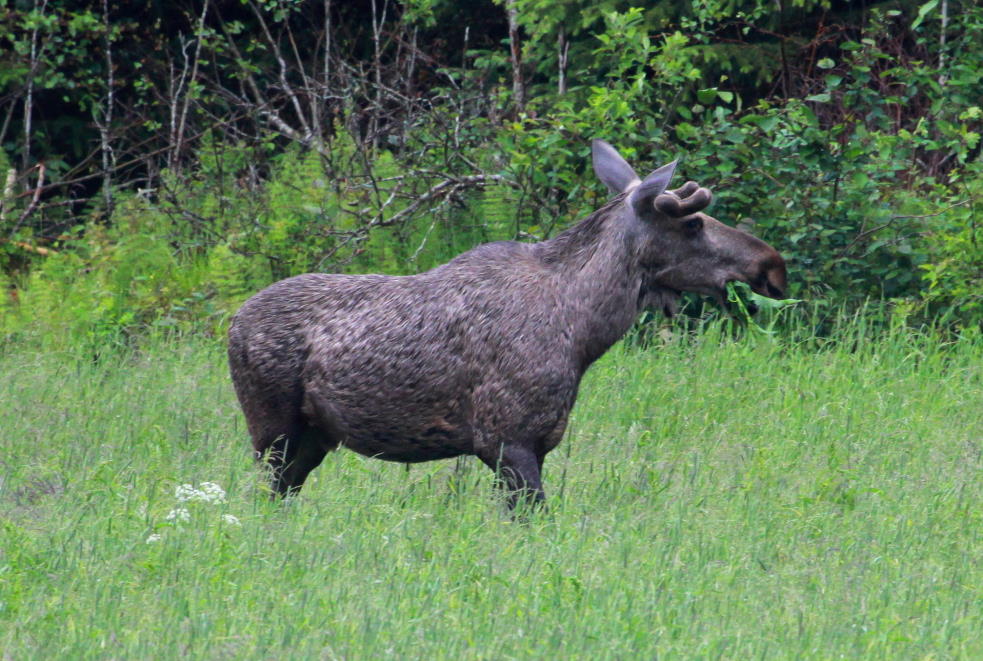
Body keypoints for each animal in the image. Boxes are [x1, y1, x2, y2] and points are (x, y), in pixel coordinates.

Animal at [227, 141, 788, 506]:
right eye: (692, 222)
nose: (773, 265)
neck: (584, 331)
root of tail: (231, 325)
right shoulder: (506, 439)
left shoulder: (531, 443)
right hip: (272, 429)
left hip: (314, 437)